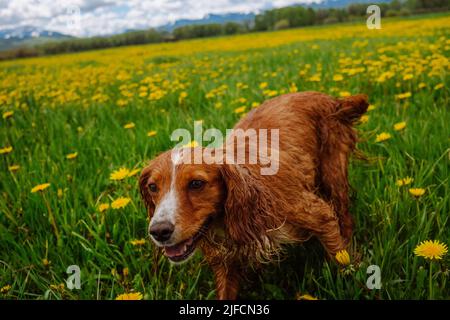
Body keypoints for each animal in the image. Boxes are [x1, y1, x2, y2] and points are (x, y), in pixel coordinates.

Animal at [139, 91, 368, 298]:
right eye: (153, 187)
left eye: (196, 183)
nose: (159, 231)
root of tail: (329, 97)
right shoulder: (226, 261)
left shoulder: (318, 215)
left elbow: (341, 258)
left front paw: (353, 282)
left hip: (333, 174)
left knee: (345, 217)